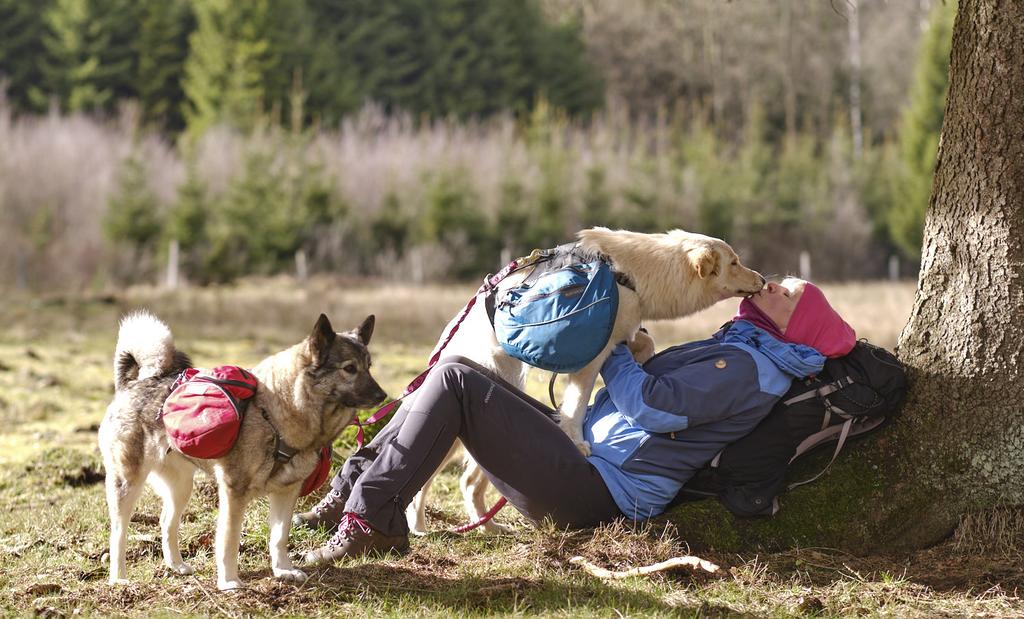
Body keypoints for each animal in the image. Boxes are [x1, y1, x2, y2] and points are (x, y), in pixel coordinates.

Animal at [97, 313, 385, 590]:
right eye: (349, 368)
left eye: (369, 367)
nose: (382, 396)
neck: (278, 414)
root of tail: (134, 383)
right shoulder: (234, 492)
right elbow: (229, 540)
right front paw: (229, 582)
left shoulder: (286, 492)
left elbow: (279, 537)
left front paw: (283, 570)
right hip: (128, 483)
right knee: (118, 533)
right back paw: (119, 579)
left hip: (181, 486)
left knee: (167, 521)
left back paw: (176, 565)